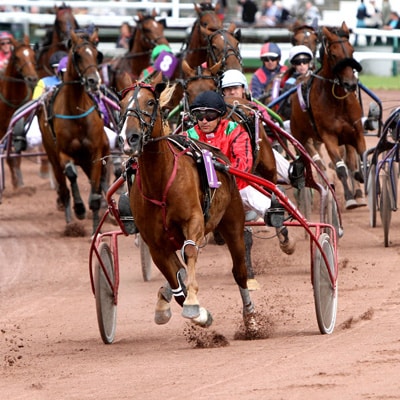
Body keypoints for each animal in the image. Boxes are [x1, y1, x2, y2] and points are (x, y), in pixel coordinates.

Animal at [38, 28, 110, 234]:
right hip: (53, 156)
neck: (76, 113)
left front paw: (95, 228)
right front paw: (79, 209)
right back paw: (70, 219)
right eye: (77, 55)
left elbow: (95, 193)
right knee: (63, 187)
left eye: (97, 54)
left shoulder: (95, 153)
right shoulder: (63, 153)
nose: (94, 81)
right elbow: (71, 174)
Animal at [117, 79, 258, 332]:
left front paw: (193, 304)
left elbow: (190, 252)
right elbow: (176, 280)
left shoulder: (193, 221)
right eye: (122, 104)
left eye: (150, 102)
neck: (160, 183)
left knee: (239, 271)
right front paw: (187, 309)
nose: (129, 138)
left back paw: (250, 317)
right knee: (180, 269)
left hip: (233, 223)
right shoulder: (156, 244)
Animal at [290, 21, 368, 209]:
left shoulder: (355, 132)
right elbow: (340, 168)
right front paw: (349, 198)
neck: (337, 101)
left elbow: (359, 161)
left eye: (352, 50)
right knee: (314, 161)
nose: (350, 84)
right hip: (301, 136)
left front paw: (361, 181)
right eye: (333, 54)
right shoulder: (329, 136)